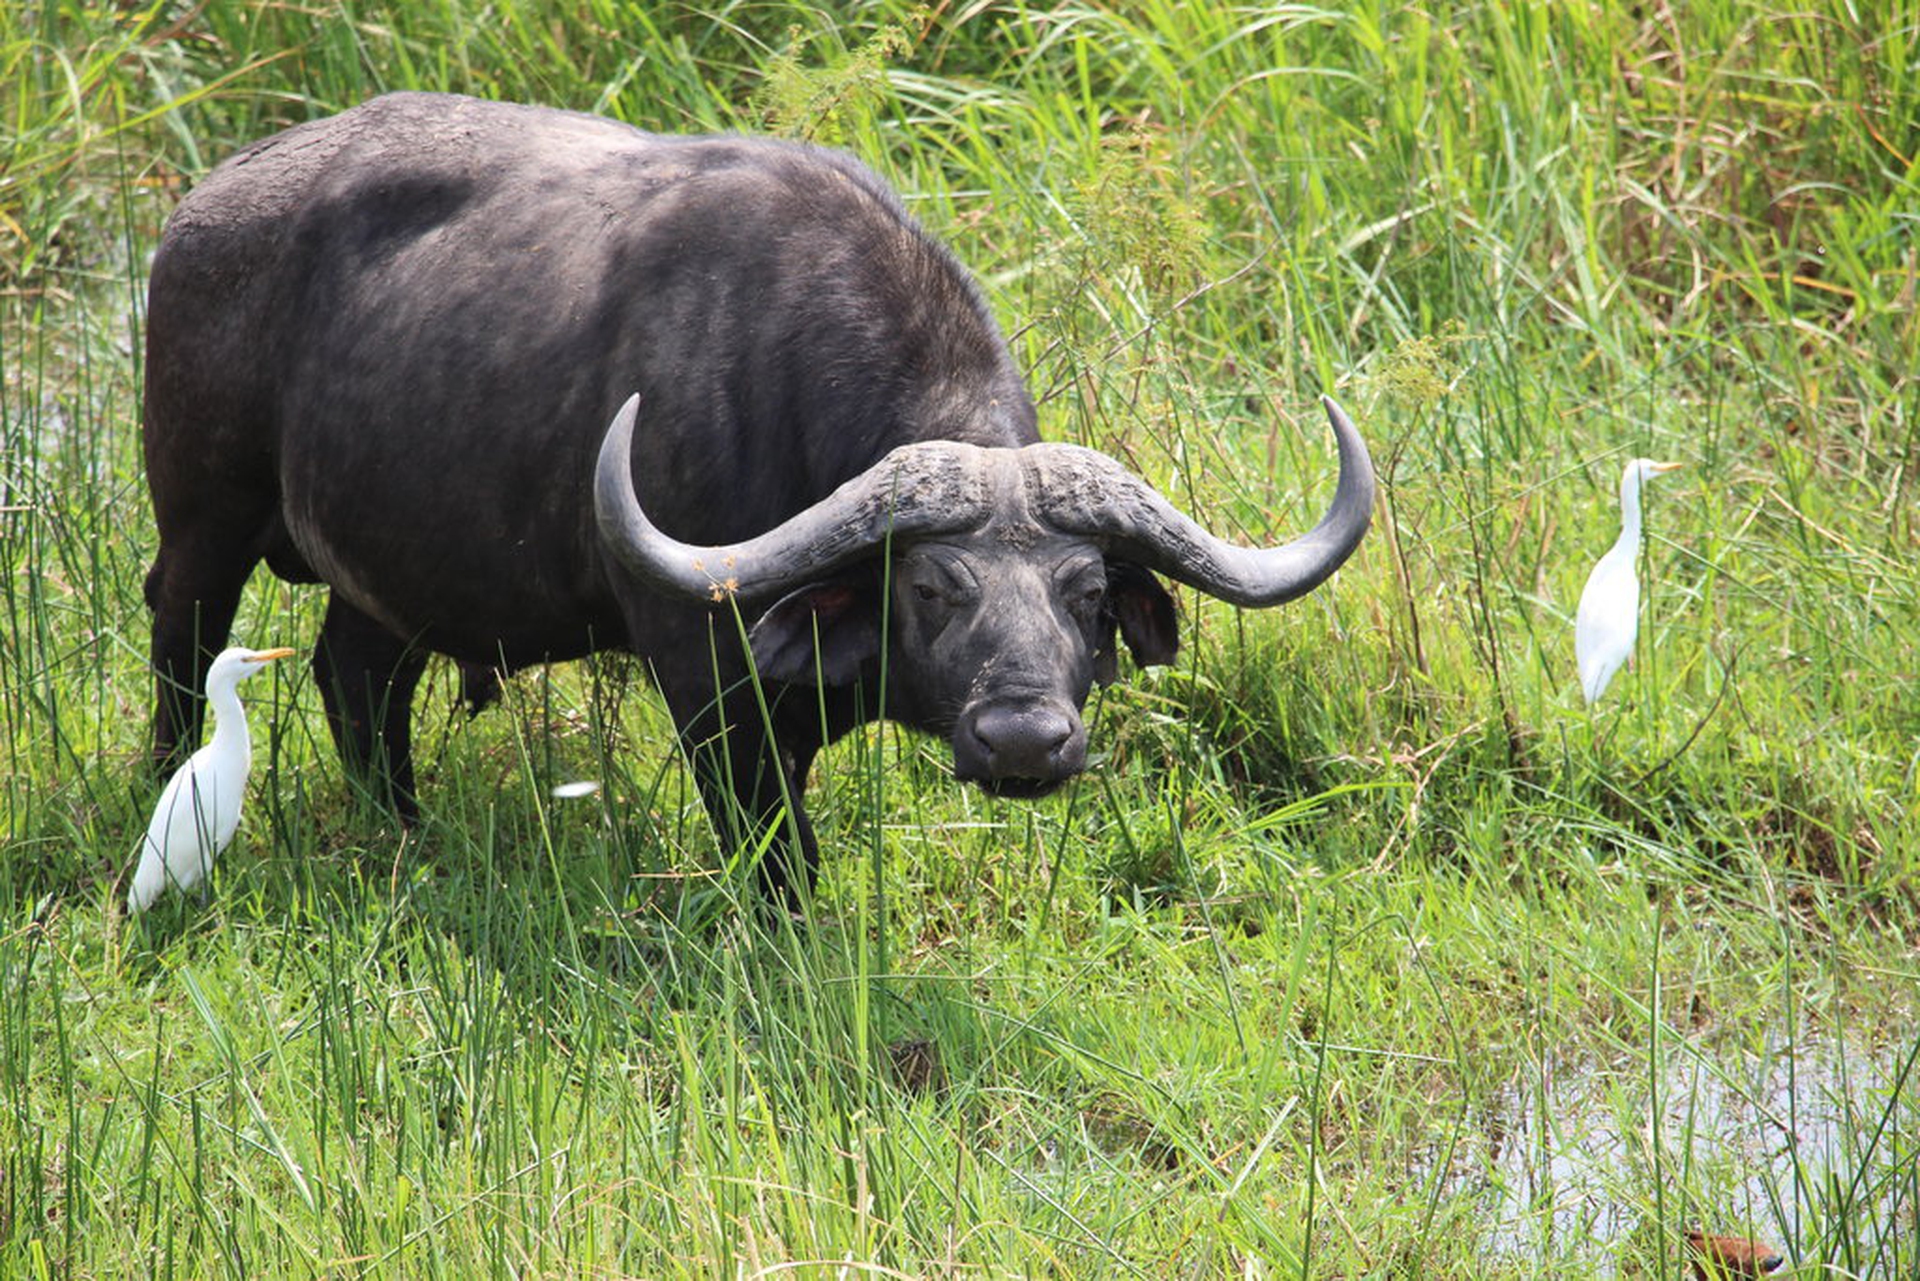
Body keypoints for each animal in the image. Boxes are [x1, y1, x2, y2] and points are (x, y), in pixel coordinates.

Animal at [142, 92, 1373, 901]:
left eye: (1081, 592)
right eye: (932, 587)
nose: (1024, 739)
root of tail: (205, 208)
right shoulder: (705, 680)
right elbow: (777, 847)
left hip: (390, 573)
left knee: (359, 679)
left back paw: (404, 828)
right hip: (203, 516)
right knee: (183, 641)